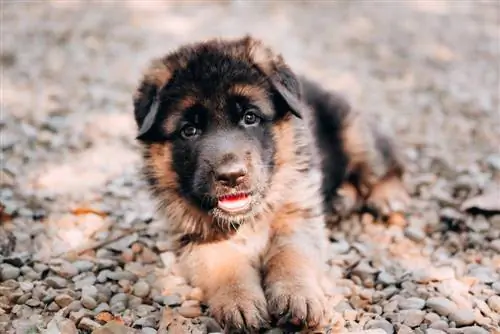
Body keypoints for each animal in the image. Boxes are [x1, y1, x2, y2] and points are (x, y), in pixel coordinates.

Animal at [133, 35, 410, 332]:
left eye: (250, 117)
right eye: (189, 130)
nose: (231, 176)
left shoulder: (298, 215)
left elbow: (290, 256)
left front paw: (297, 295)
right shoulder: (196, 236)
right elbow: (224, 264)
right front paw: (239, 301)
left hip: (354, 133)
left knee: (385, 161)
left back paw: (386, 195)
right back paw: (342, 197)